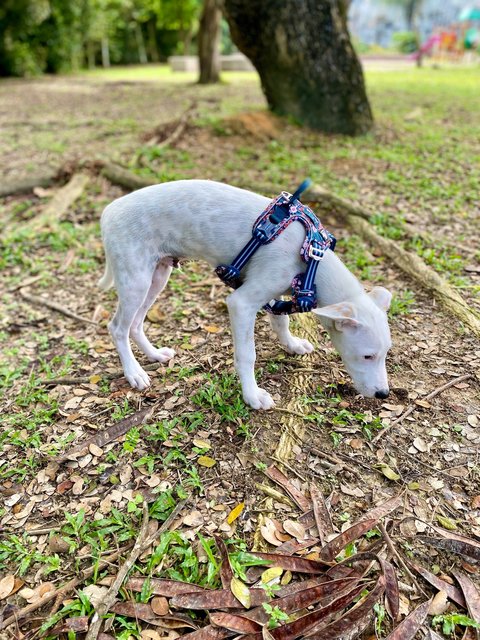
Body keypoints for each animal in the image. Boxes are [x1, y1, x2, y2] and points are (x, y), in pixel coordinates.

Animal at [99, 180, 392, 410]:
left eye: (386, 353)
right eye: (367, 356)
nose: (383, 394)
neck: (310, 259)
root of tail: (109, 211)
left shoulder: (270, 294)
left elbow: (281, 321)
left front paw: (292, 344)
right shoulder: (241, 303)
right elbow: (247, 354)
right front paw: (252, 395)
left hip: (157, 276)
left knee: (136, 324)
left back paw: (154, 355)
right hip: (136, 281)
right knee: (117, 328)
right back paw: (134, 373)